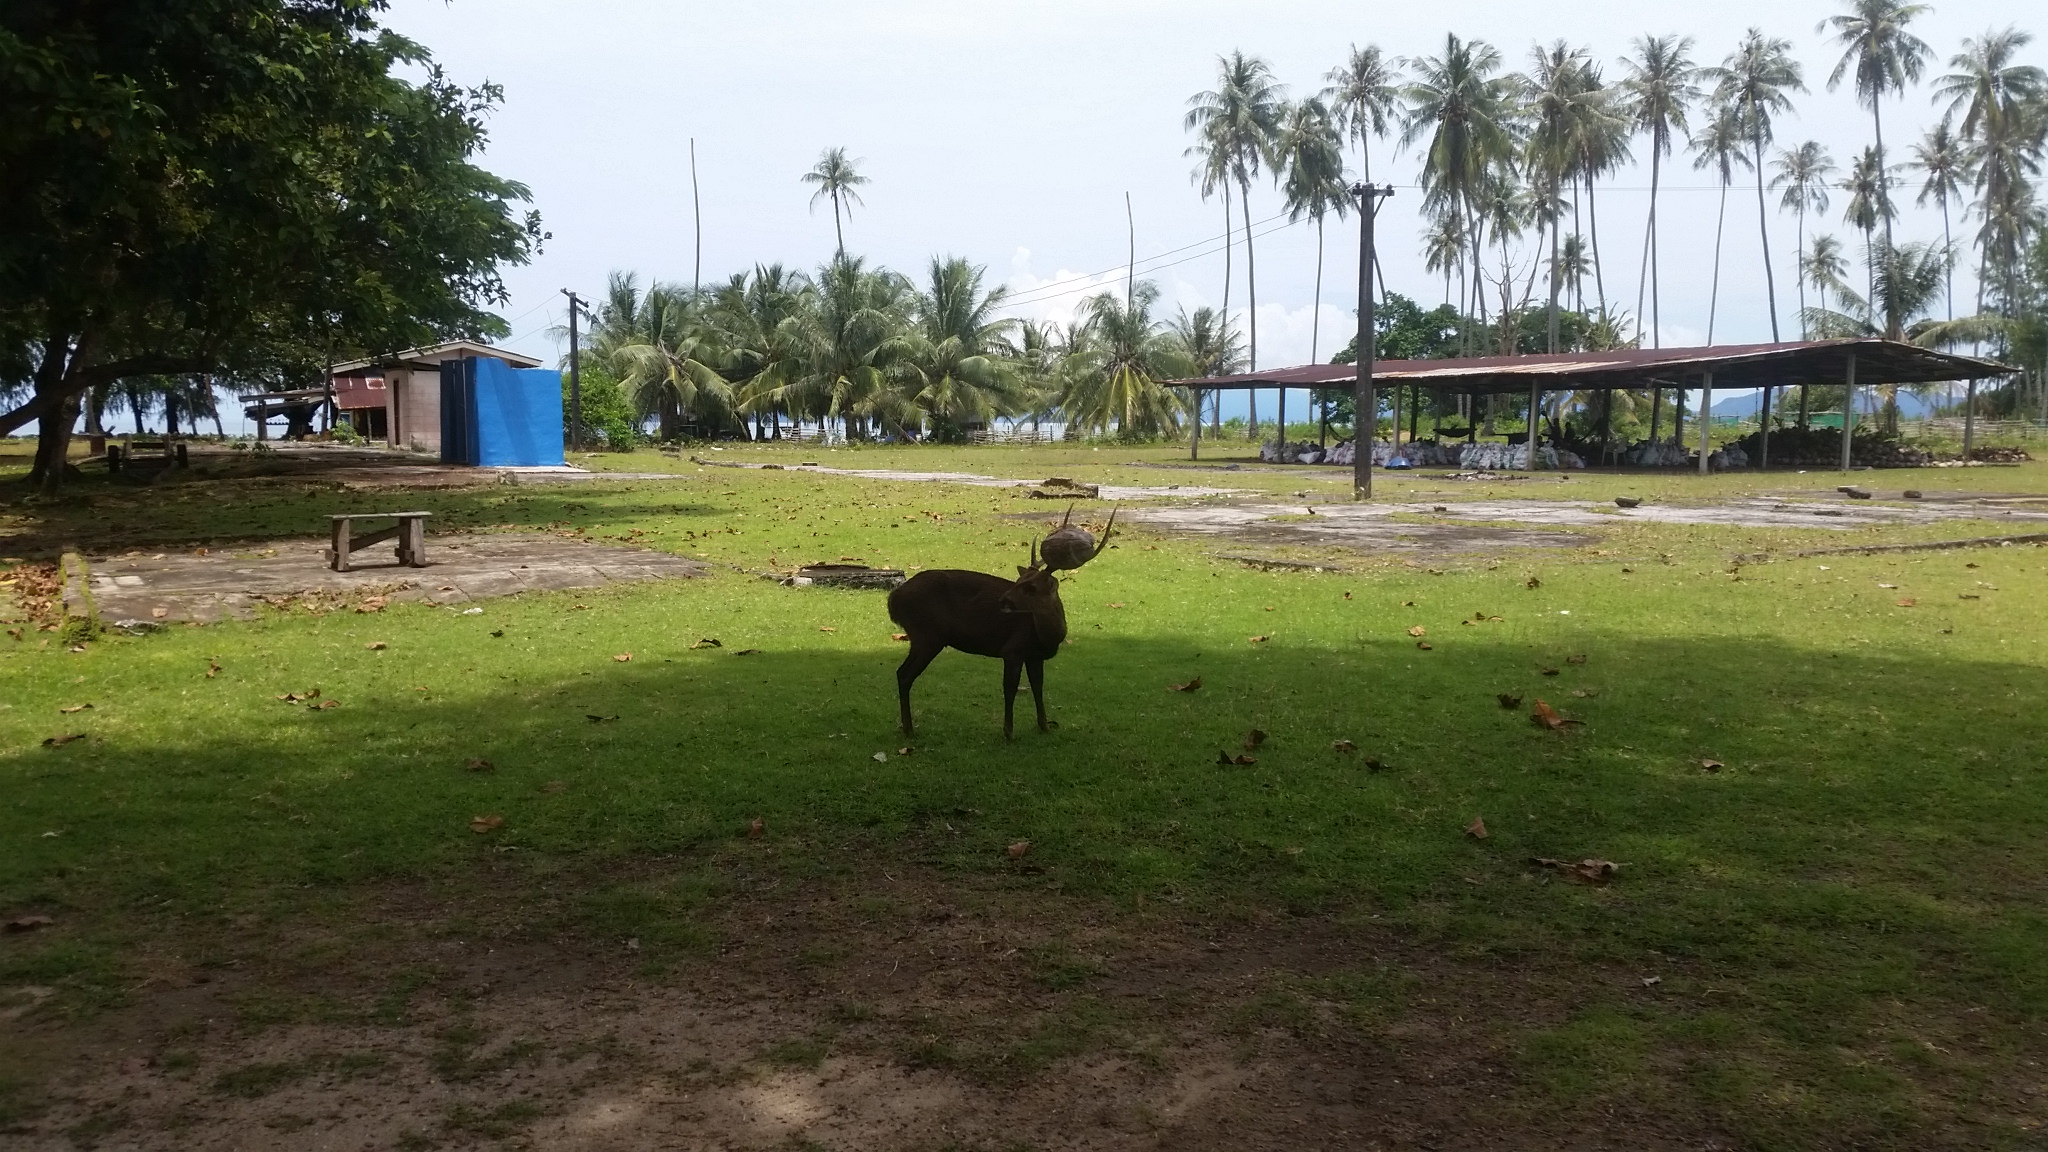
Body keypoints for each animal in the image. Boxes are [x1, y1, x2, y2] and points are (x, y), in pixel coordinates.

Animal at [880, 524, 1105, 737]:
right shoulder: (1013, 649)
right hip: (927, 635)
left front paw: (1045, 726)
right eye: (1018, 581)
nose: (1003, 600)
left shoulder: (1034, 656)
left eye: (1031, 588)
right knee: (904, 674)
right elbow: (1010, 688)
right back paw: (909, 730)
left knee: (902, 674)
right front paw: (1009, 732)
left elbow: (1038, 687)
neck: (1046, 636)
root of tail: (894, 599)